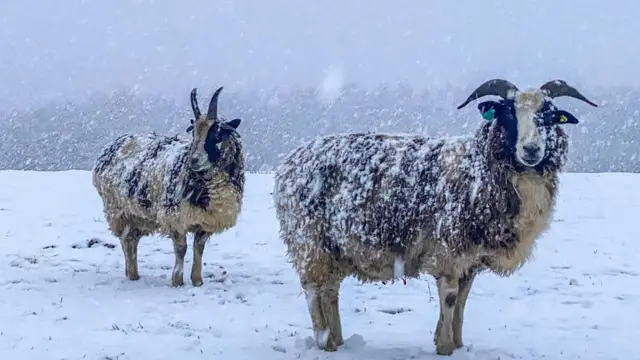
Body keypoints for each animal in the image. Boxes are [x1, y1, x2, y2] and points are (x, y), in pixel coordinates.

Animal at [92, 86, 245, 286]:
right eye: (194, 133)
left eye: (217, 133)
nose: (193, 160)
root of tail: (112, 146)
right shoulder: (175, 217)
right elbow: (181, 249)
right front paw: (177, 281)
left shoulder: (206, 220)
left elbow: (198, 248)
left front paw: (197, 281)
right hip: (118, 209)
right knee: (126, 240)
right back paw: (132, 274)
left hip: (139, 215)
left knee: (131, 239)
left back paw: (132, 273)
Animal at [272, 78, 596, 354]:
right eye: (508, 114)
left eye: (550, 116)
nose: (531, 150)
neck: (479, 167)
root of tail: (289, 162)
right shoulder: (450, 250)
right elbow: (450, 298)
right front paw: (444, 346)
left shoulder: (470, 260)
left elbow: (463, 302)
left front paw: (459, 343)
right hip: (309, 241)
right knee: (313, 292)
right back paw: (325, 341)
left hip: (333, 248)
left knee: (330, 291)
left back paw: (339, 340)